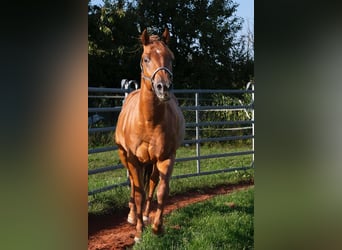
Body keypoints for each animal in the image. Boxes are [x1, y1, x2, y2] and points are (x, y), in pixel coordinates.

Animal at [115, 28, 184, 243]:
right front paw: (138, 232)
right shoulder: (133, 160)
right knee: (133, 185)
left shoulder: (166, 157)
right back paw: (132, 216)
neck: (147, 121)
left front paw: (157, 227)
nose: (163, 87)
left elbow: (161, 191)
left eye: (171, 58)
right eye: (146, 59)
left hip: (153, 162)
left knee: (152, 184)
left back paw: (145, 215)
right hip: (126, 157)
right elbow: (138, 193)